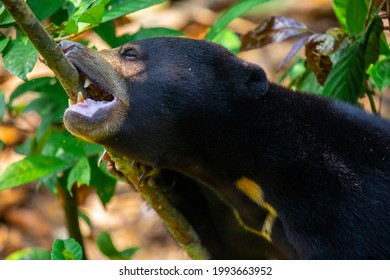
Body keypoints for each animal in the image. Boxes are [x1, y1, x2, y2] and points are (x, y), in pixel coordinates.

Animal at [59, 37, 390, 260]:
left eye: (129, 52)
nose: (65, 45)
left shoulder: (342, 215)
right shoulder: (246, 223)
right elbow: (221, 246)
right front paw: (148, 173)